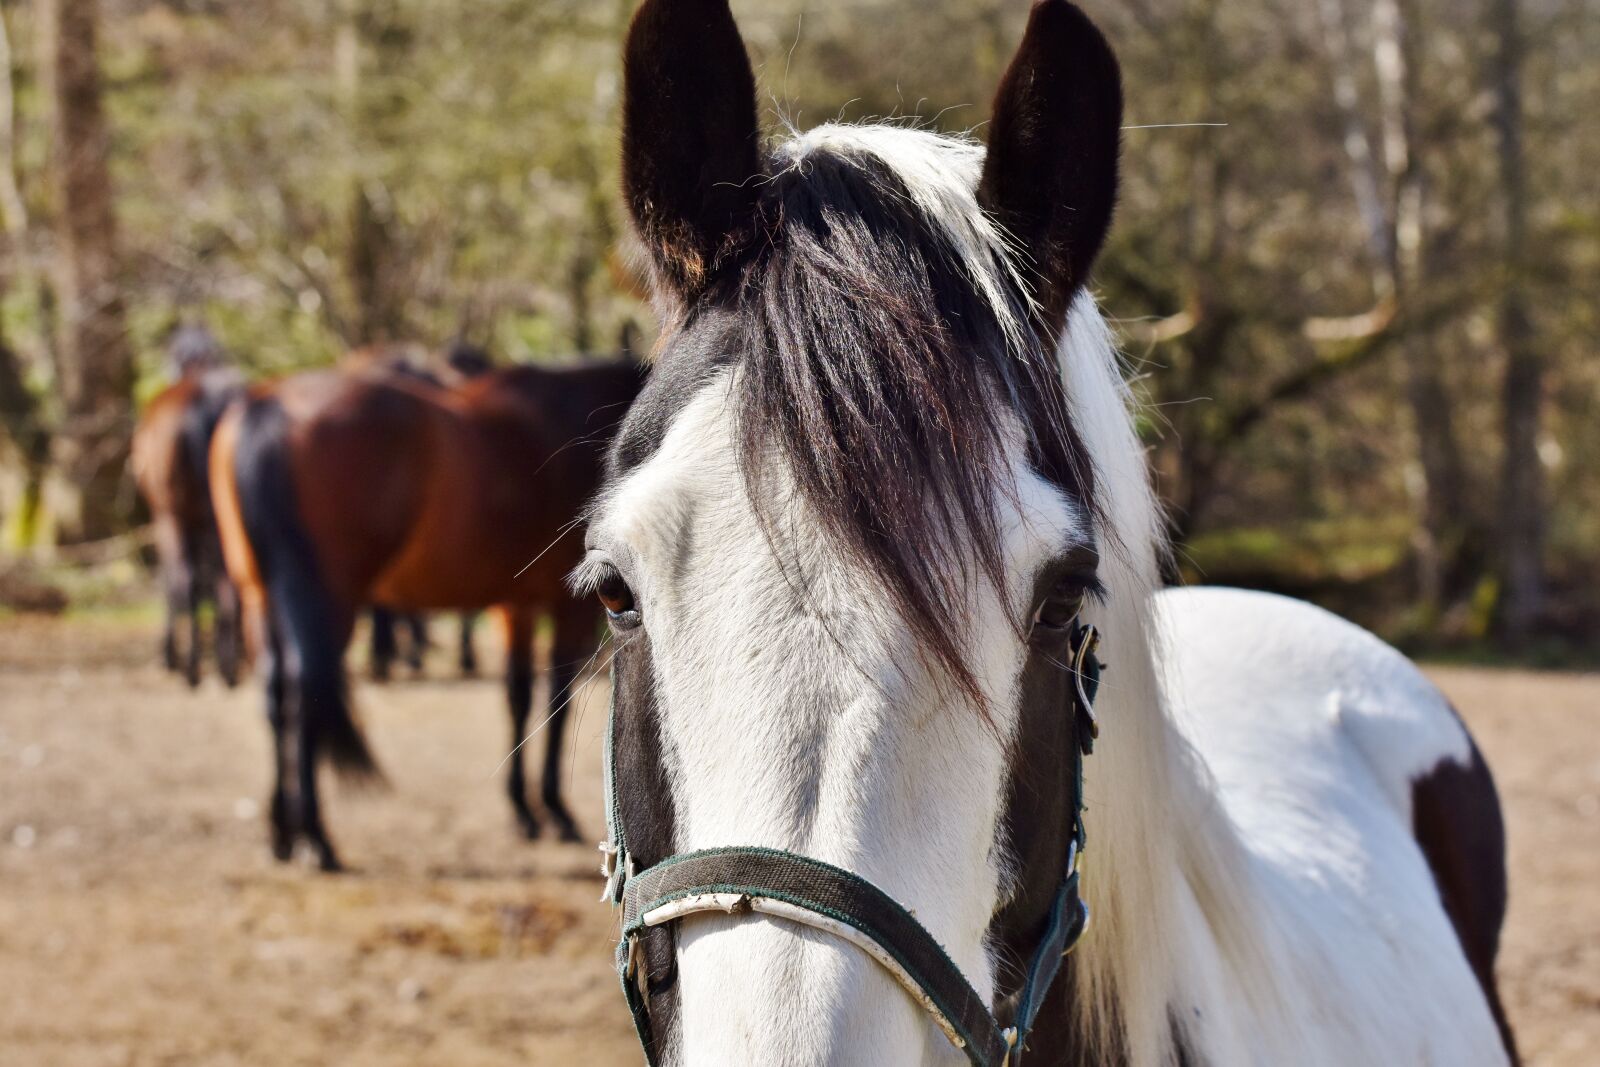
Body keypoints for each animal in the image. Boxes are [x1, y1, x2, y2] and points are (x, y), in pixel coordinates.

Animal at [130, 326, 246, 687]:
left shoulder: (165, 519)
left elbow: (173, 582)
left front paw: (170, 655)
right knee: (228, 578)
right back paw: (228, 665)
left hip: (176, 518)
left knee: (187, 579)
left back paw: (192, 668)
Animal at [210, 356, 646, 871]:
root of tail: (271, 403)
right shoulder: (567, 609)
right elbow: (556, 702)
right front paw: (554, 810)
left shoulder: (515, 606)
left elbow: (519, 697)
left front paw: (523, 809)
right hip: (325, 603)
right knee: (303, 696)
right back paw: (315, 837)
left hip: (262, 599)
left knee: (275, 696)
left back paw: (282, 832)